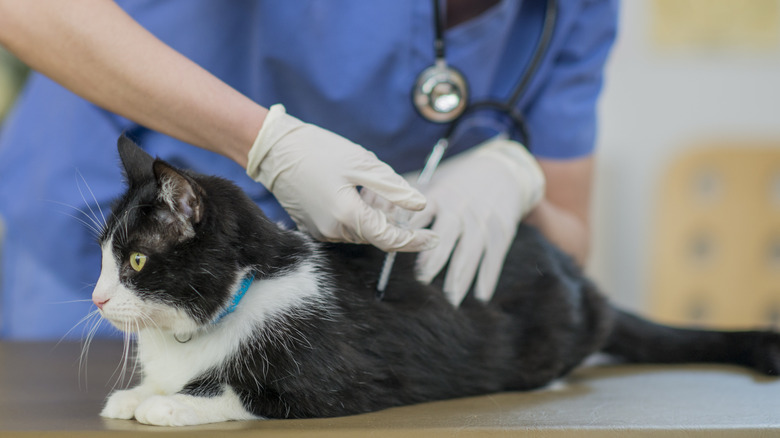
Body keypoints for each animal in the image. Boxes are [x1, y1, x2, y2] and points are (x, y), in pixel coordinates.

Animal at [93, 135, 780, 426]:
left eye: (136, 262)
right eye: (102, 255)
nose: (97, 297)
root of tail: (581, 279)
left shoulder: (332, 384)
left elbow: (248, 393)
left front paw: (171, 403)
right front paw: (137, 392)